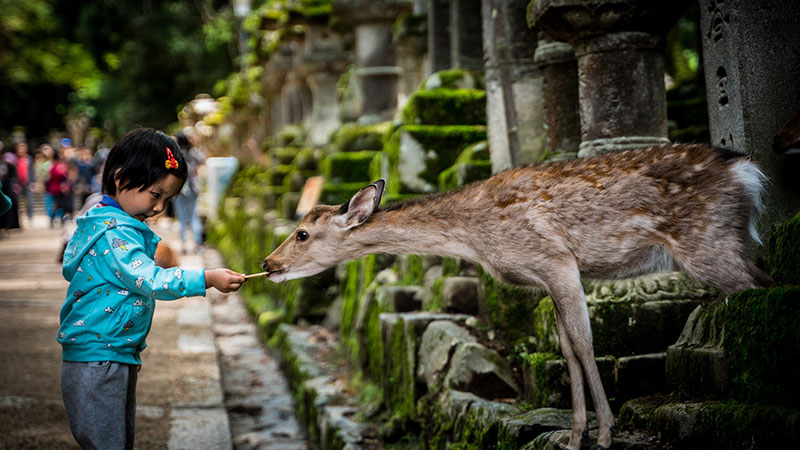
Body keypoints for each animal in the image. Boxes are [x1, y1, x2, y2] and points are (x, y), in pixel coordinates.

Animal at [260, 145, 768, 450]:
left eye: (302, 233)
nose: (268, 262)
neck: (477, 238)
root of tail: (746, 170)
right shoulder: (547, 277)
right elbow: (566, 348)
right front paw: (573, 437)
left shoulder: (557, 261)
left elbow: (584, 344)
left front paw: (604, 435)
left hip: (709, 244)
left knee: (760, 290)